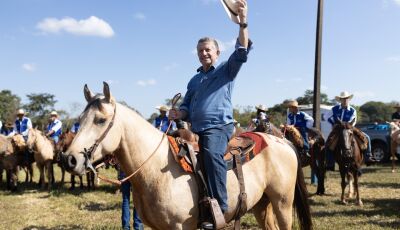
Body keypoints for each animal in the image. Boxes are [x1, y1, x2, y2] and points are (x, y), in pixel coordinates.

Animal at [62, 82, 312, 230]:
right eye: (80, 119)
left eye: (100, 120)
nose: (69, 159)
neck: (155, 170)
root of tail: (282, 141)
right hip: (261, 204)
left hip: (282, 202)